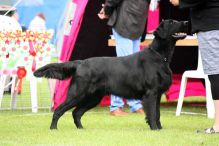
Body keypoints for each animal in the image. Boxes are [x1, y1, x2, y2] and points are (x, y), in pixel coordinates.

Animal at [34, 19, 188, 130]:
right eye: (172, 22)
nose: (187, 22)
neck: (160, 56)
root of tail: (81, 63)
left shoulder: (158, 94)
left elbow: (158, 114)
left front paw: (159, 129)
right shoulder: (151, 93)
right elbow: (152, 113)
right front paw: (155, 129)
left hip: (94, 97)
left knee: (76, 112)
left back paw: (81, 129)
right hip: (77, 94)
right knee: (59, 110)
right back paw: (53, 128)